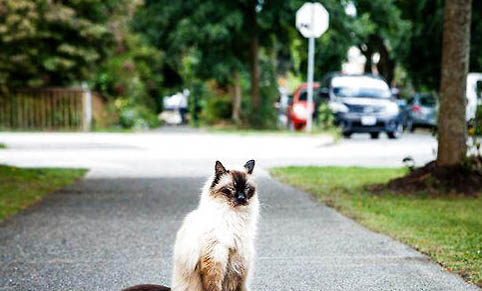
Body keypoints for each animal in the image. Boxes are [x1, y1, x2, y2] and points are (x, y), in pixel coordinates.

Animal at [124, 161, 260, 290]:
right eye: (232, 188)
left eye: (247, 188)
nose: (242, 198)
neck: (234, 216)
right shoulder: (214, 261)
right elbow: (214, 286)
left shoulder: (237, 265)